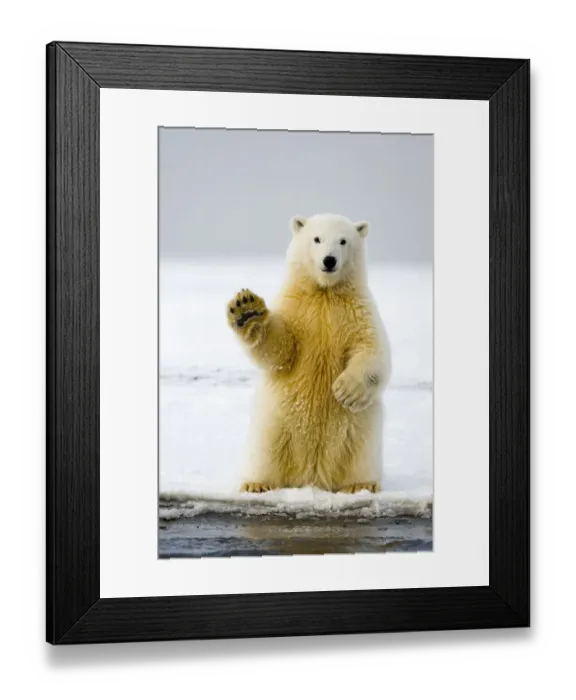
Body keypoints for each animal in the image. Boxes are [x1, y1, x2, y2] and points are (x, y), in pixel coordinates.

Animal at [226, 213, 391, 494]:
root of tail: (312, 475)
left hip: (360, 427)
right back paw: (256, 483)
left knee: (361, 449)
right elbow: (281, 350)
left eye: (343, 241)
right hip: (275, 418)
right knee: (266, 448)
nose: (329, 260)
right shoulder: (296, 308)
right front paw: (247, 311)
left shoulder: (358, 311)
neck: (324, 292)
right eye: (317, 239)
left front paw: (346, 391)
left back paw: (360, 485)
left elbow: (371, 349)